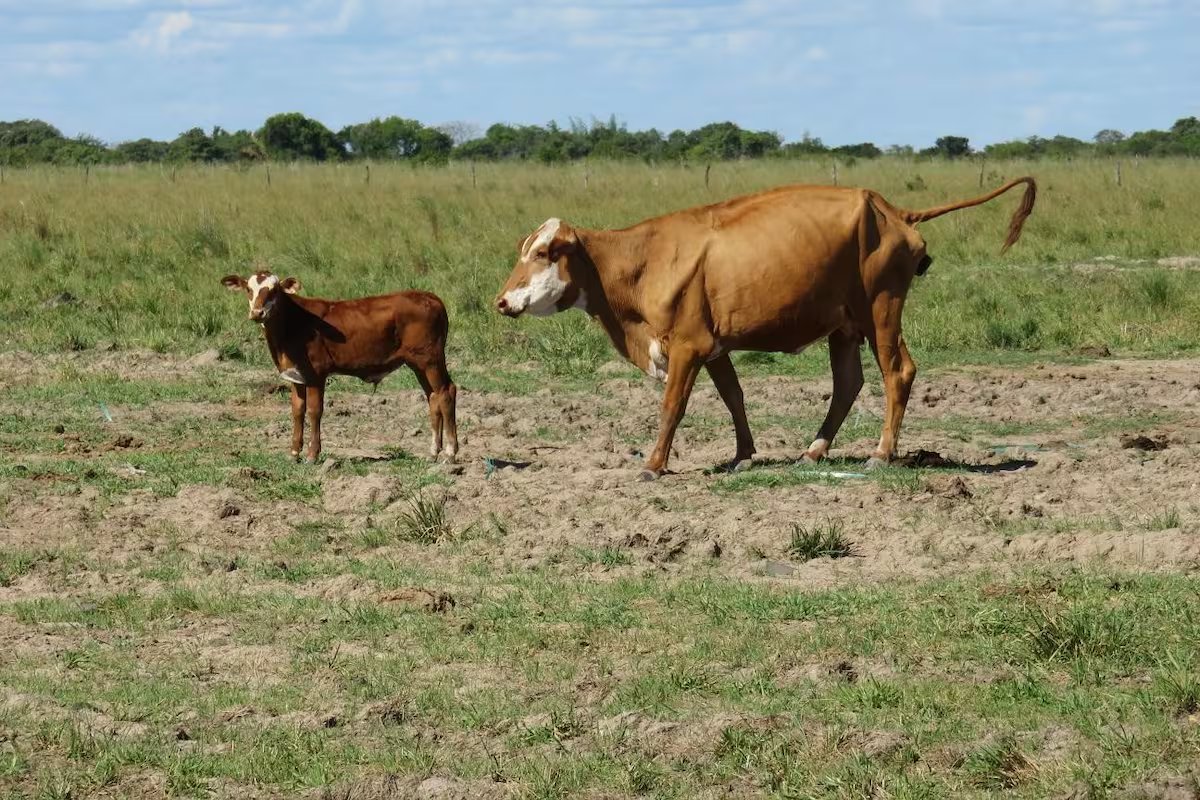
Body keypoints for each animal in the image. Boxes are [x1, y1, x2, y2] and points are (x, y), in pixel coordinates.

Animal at [220, 270, 458, 464]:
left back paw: (449, 452)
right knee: (433, 397)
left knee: (446, 392)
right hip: (418, 364)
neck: (291, 324)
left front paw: (312, 454)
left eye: (275, 290)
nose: (257, 313)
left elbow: (314, 411)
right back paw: (433, 452)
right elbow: (297, 410)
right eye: (249, 289)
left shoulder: (316, 374)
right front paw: (294, 453)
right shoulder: (295, 375)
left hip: (430, 359)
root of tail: (430, 297)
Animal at [495, 178, 1036, 480]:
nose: (502, 301)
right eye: (523, 249)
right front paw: (744, 456)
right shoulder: (713, 348)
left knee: (897, 372)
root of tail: (890, 209)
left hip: (882, 309)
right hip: (844, 325)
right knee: (848, 384)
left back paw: (882, 454)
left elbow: (672, 407)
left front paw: (652, 465)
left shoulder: (688, 347)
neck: (644, 261)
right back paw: (814, 452)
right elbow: (734, 398)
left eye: (543, 252)